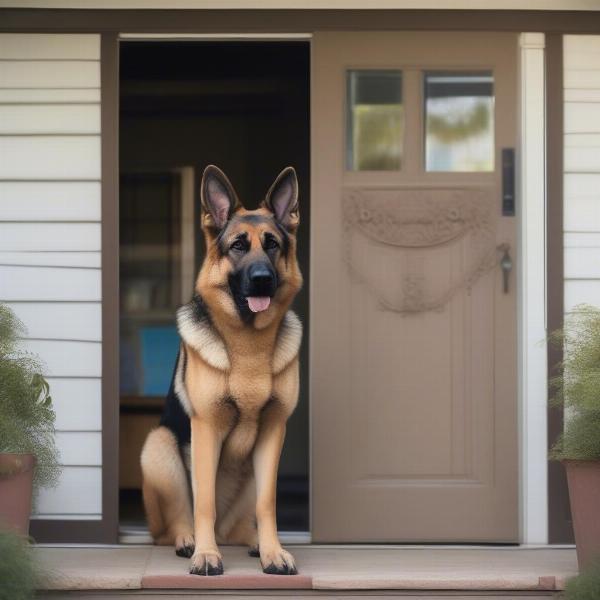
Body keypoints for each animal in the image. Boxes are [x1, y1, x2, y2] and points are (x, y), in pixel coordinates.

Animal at [139, 164, 302, 576]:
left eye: (272, 245)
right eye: (238, 246)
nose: (262, 279)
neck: (248, 347)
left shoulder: (274, 432)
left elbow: (267, 503)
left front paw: (274, 552)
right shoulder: (205, 431)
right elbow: (205, 502)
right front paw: (206, 555)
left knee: (243, 522)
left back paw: (253, 541)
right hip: (159, 447)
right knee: (175, 521)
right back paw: (188, 540)